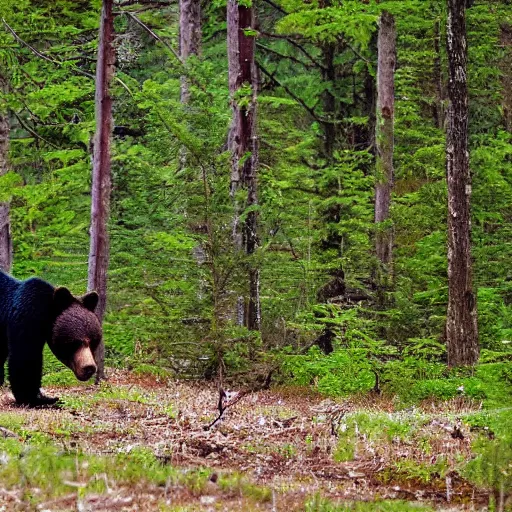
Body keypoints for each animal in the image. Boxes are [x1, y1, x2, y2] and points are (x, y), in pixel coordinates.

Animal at [0, 270, 101, 406]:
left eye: (93, 342)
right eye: (76, 342)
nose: (89, 368)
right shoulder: (27, 318)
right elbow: (25, 357)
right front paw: (39, 399)